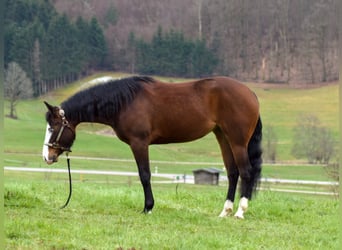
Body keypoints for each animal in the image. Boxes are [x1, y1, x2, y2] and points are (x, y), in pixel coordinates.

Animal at [42, 75, 262, 219]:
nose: (47, 156)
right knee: (233, 173)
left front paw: (148, 208)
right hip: (223, 137)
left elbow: (144, 175)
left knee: (246, 172)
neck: (125, 102)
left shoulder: (139, 143)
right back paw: (225, 211)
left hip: (237, 141)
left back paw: (240, 212)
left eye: (53, 127)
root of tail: (251, 93)